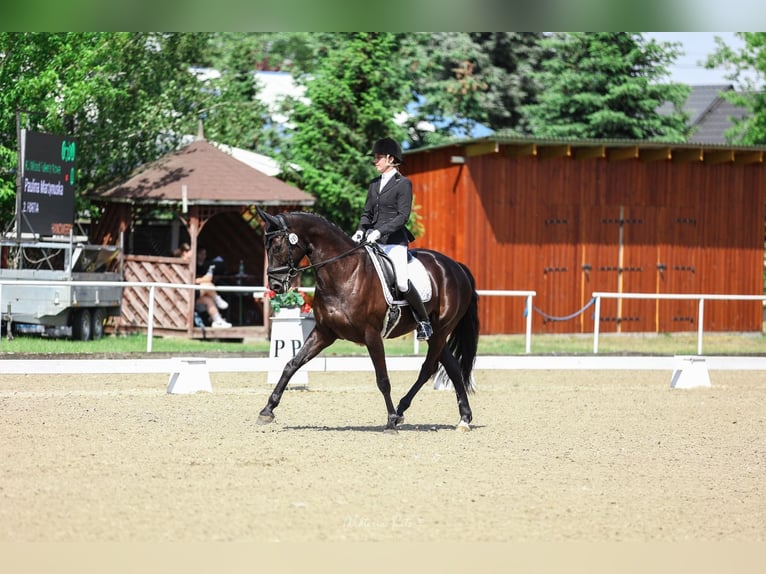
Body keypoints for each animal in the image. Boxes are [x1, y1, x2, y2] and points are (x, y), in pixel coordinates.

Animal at [258, 209, 476, 434]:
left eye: (277, 246)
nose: (275, 285)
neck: (344, 272)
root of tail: (456, 266)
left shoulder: (371, 335)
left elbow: (383, 379)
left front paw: (390, 421)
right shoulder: (324, 332)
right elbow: (292, 364)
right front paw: (267, 410)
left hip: (441, 330)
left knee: (427, 369)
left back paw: (401, 412)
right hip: (437, 334)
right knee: (452, 367)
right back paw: (463, 418)